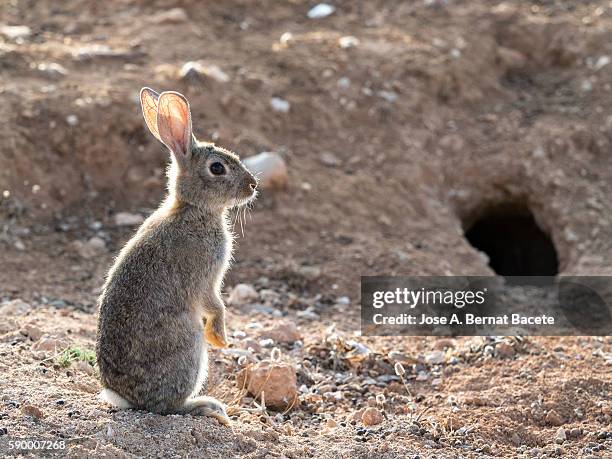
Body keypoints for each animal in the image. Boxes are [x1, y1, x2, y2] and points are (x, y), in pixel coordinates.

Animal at [94, 88, 256, 426]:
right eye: (217, 168)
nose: (253, 185)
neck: (194, 210)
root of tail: (126, 398)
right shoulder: (205, 278)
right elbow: (215, 305)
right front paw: (220, 338)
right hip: (188, 344)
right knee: (168, 406)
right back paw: (207, 407)